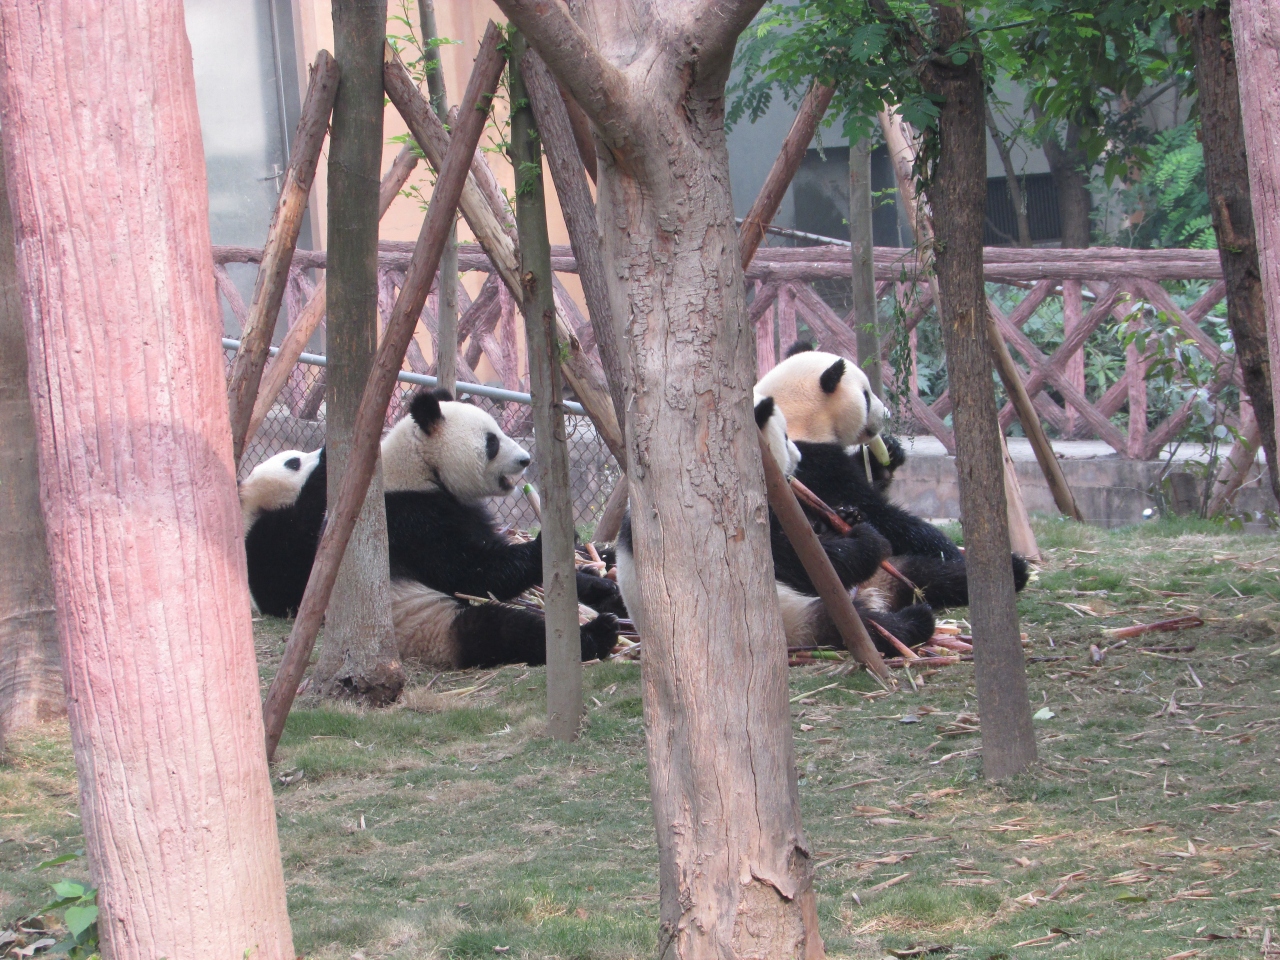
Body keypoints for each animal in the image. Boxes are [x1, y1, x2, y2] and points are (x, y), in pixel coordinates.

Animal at [238, 390, 620, 670]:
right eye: (492, 441)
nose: (526, 459)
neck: (418, 468)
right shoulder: (407, 519)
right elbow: (472, 571)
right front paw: (548, 542)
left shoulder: (464, 509)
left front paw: (596, 575)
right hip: (428, 625)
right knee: (499, 629)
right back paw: (598, 634)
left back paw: (609, 594)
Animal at [613, 392, 936, 656]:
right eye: (784, 436)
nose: (799, 458)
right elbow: (799, 561)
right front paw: (870, 541)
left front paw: (848, 514)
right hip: (794, 620)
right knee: (861, 624)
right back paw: (913, 621)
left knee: (923, 571)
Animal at [756, 342, 1030, 610]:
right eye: (866, 395)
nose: (886, 414)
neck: (800, 418)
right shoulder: (818, 465)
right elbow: (882, 515)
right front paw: (944, 546)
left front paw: (887, 454)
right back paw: (1005, 569)